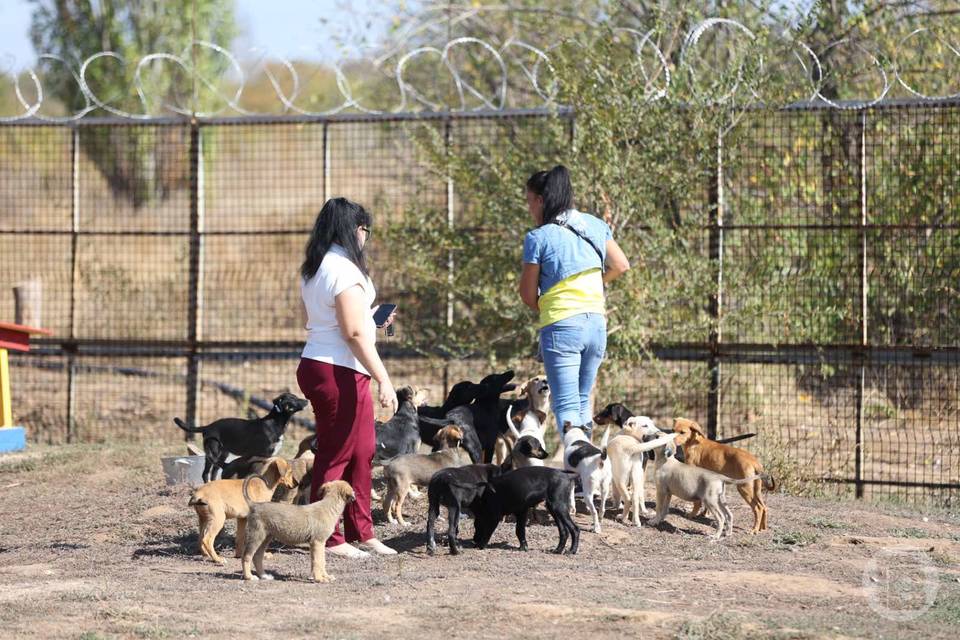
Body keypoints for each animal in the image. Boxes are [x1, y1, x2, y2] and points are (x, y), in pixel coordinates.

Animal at [173, 392, 308, 482]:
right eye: (293, 399)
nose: (307, 400)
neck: (275, 422)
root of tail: (208, 427)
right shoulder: (265, 454)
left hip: (222, 453)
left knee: (211, 472)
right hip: (214, 450)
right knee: (207, 473)